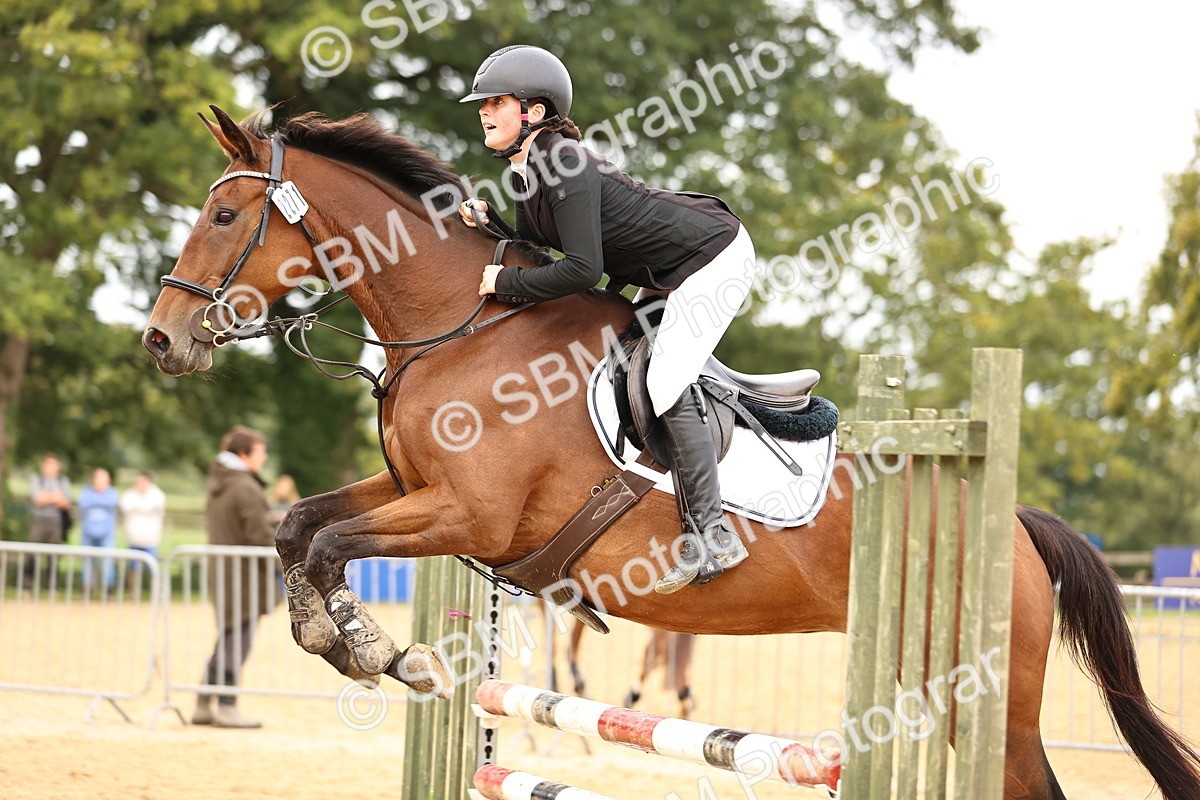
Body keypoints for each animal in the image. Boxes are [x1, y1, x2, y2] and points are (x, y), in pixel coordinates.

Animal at [142, 106, 1200, 800]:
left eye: (225, 218)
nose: (161, 340)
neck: (459, 326)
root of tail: (1010, 523)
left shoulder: (466, 513)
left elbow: (326, 544)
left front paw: (364, 646)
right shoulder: (411, 490)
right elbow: (297, 525)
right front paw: (373, 646)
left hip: (981, 697)